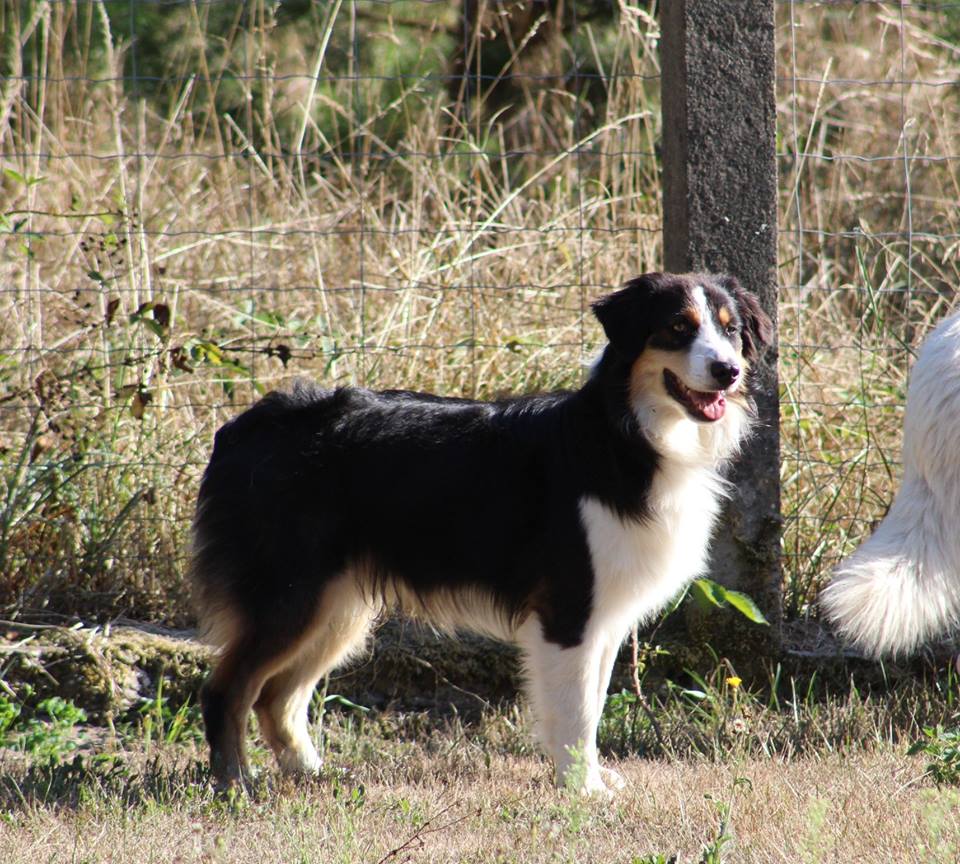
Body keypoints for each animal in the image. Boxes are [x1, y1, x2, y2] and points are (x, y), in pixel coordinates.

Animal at [193, 274, 772, 792]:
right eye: (677, 327)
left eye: (731, 330)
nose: (728, 370)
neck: (627, 434)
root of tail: (245, 426)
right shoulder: (569, 611)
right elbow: (577, 710)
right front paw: (583, 790)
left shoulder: (604, 614)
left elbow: (592, 701)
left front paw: (587, 778)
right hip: (289, 598)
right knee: (228, 689)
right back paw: (235, 784)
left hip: (335, 608)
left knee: (277, 697)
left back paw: (311, 773)